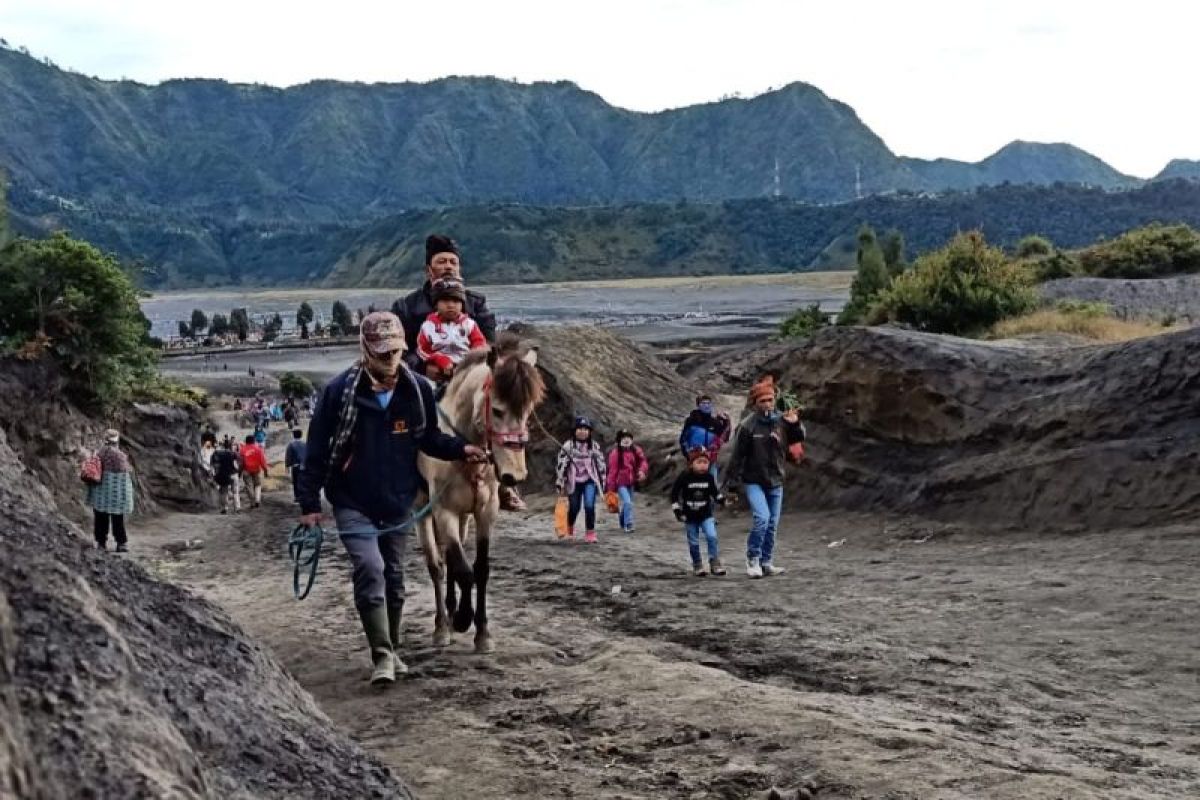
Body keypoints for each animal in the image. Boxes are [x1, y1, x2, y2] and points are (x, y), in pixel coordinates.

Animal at [415, 335, 542, 652]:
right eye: (496, 410)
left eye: (527, 412)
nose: (513, 475)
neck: (462, 450)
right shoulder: (443, 512)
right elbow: (463, 570)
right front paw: (463, 618)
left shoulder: (485, 512)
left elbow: (479, 569)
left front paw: (482, 632)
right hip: (422, 512)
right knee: (436, 565)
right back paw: (442, 625)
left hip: (464, 516)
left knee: (450, 557)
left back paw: (450, 610)